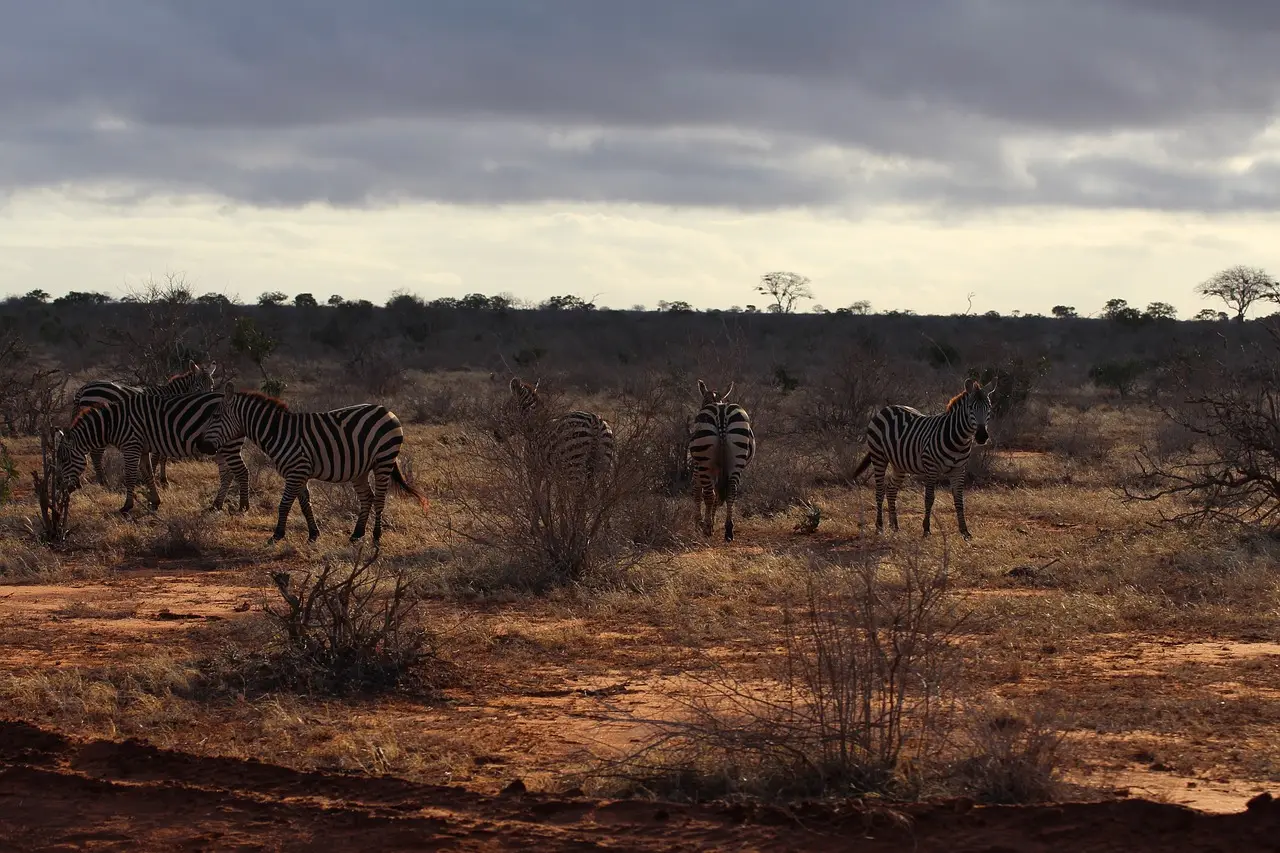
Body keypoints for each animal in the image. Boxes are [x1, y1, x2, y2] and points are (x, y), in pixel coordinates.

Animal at [54, 391, 249, 515]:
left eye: (64, 459)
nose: (62, 486)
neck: (113, 423)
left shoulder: (131, 446)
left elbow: (131, 476)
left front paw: (127, 506)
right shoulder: (142, 449)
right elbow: (148, 474)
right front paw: (155, 501)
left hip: (228, 444)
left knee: (242, 471)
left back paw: (243, 507)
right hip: (219, 448)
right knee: (227, 474)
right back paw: (216, 505)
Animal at [72, 361, 219, 488]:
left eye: (212, 385)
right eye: (198, 385)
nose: (209, 406)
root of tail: (84, 387)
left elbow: (163, 457)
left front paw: (162, 480)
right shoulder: (161, 427)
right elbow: (158, 457)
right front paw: (152, 480)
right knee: (96, 454)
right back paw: (103, 482)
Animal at [194, 383, 429, 543]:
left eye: (215, 416)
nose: (200, 444)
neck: (278, 432)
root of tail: (386, 410)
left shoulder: (296, 470)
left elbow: (284, 504)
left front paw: (276, 535)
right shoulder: (298, 473)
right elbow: (305, 504)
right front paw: (314, 535)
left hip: (384, 460)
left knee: (379, 499)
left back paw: (376, 537)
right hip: (361, 469)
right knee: (367, 497)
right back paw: (356, 534)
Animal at [688, 380, 755, 542]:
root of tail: (722, 413)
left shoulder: (697, 467)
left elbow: (697, 491)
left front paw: (701, 523)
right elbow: (718, 494)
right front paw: (710, 522)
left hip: (705, 461)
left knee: (708, 494)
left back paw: (707, 529)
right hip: (737, 458)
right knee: (731, 491)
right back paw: (729, 530)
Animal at [851, 377, 996, 540]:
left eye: (989, 407)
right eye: (971, 407)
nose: (982, 436)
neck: (959, 439)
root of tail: (887, 408)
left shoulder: (959, 469)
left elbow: (959, 500)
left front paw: (965, 531)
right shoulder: (931, 467)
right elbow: (929, 498)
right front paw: (926, 529)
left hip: (899, 464)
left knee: (891, 489)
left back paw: (894, 526)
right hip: (878, 456)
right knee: (880, 491)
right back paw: (879, 527)